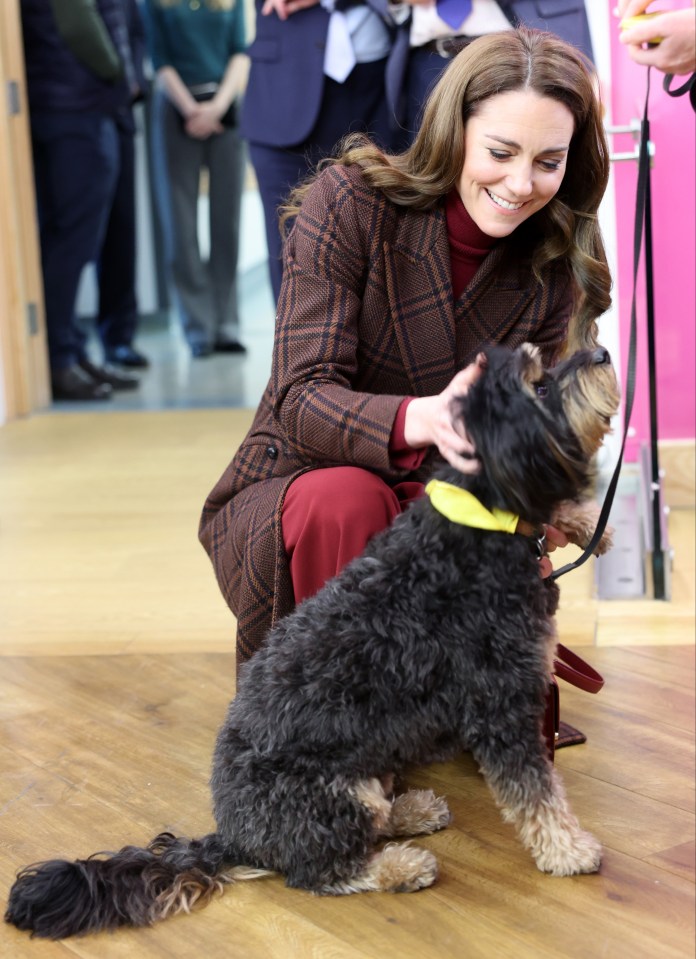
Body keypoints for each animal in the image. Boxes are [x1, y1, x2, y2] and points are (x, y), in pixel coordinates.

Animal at [5, 344, 620, 936]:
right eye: (539, 384)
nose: (603, 353)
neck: (476, 523)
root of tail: (234, 836)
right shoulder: (502, 708)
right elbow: (536, 795)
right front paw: (569, 851)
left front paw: (588, 521)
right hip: (330, 795)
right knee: (321, 872)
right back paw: (400, 865)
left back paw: (410, 812)